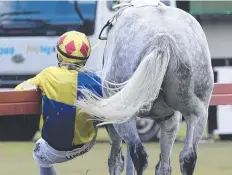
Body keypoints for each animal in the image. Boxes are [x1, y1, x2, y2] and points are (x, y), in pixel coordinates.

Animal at [79, 0, 214, 174]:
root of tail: (164, 38)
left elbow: (116, 159)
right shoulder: (170, 120)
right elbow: (164, 165)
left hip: (124, 116)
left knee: (138, 154)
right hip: (197, 113)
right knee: (188, 156)